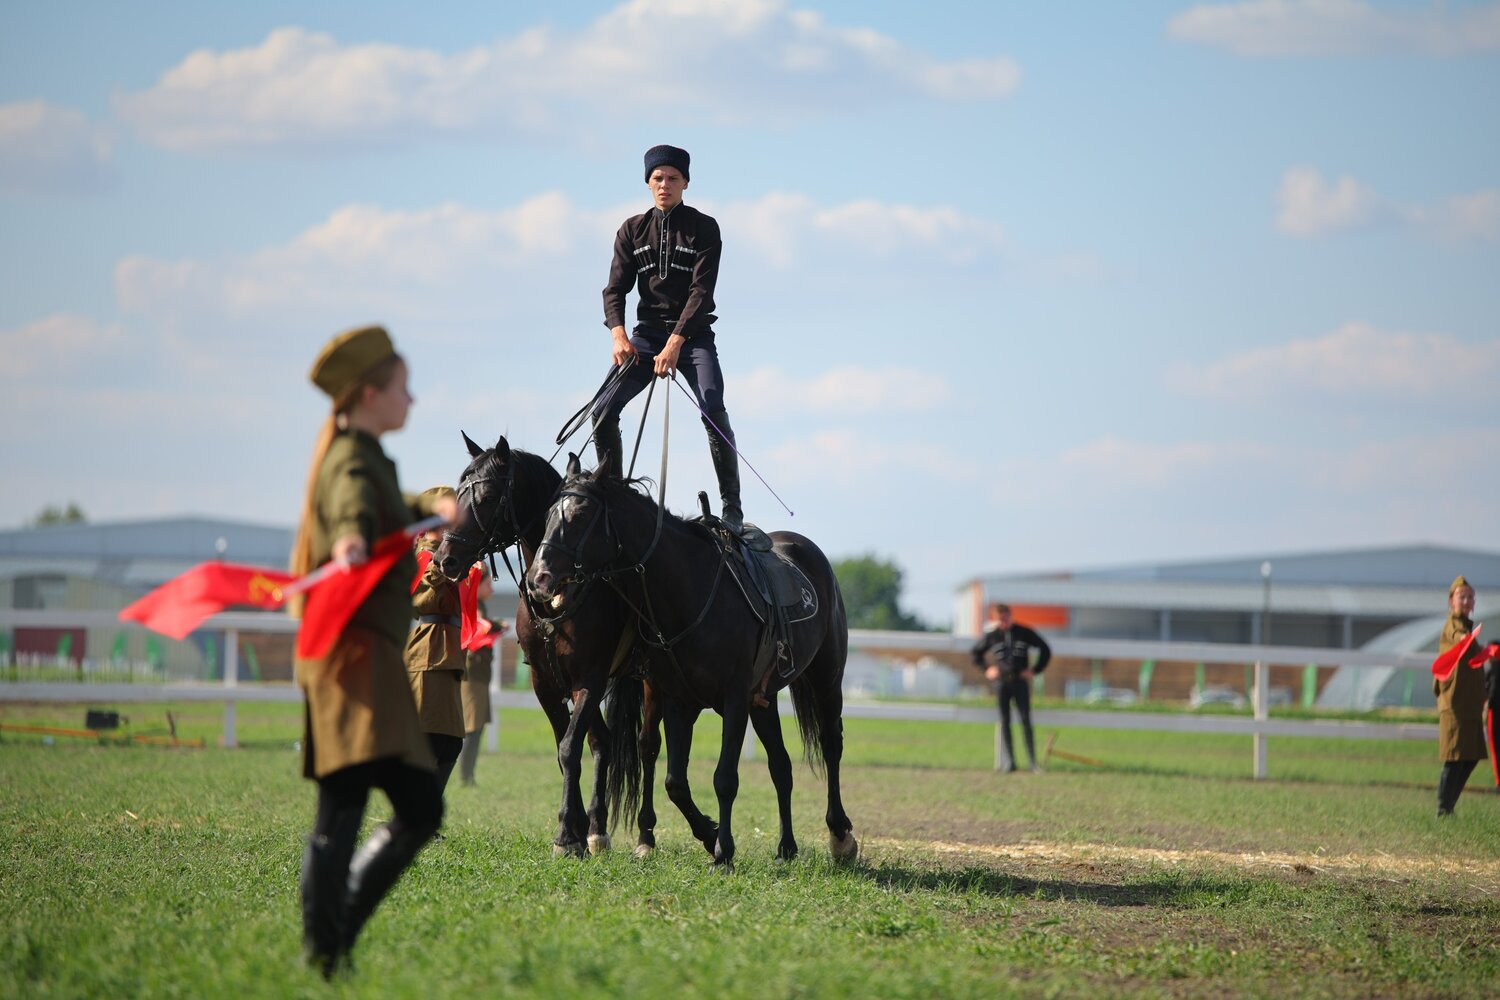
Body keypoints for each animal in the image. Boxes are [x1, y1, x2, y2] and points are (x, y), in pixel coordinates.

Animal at [525, 455, 857, 871]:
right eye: (548, 514)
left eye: (581, 513)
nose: (538, 580)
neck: (691, 591)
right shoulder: (679, 702)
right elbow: (675, 782)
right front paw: (710, 835)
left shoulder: (733, 700)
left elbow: (724, 778)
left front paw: (723, 852)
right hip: (762, 701)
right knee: (780, 766)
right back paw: (786, 847)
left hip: (826, 678)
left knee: (832, 745)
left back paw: (841, 836)